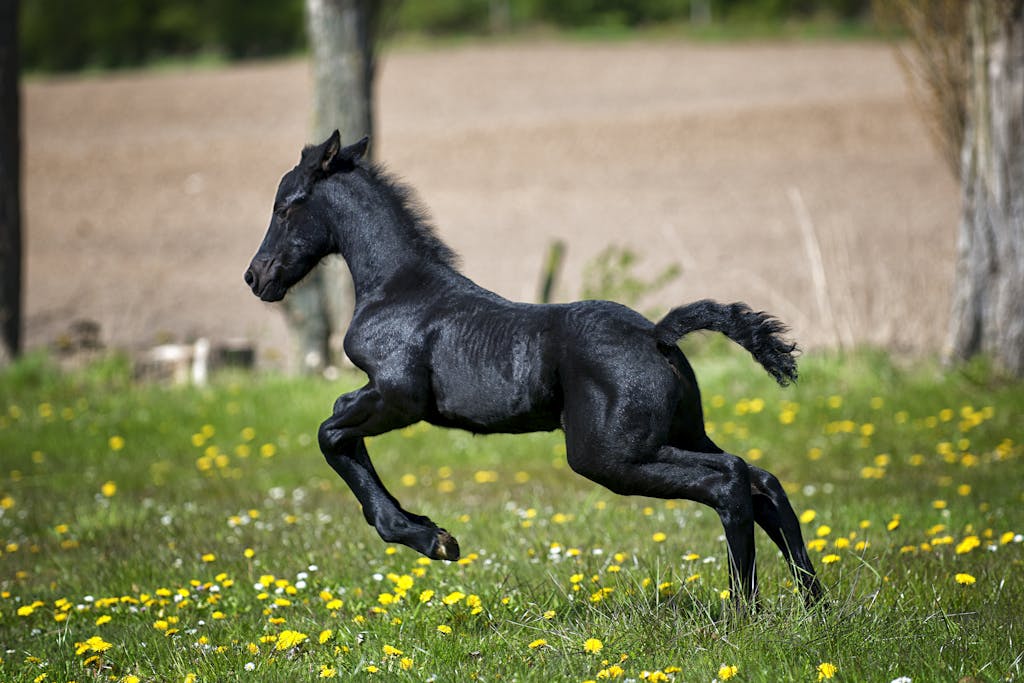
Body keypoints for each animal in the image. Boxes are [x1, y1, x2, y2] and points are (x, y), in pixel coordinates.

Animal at [244, 131, 823, 606]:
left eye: (284, 207)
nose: (256, 277)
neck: (398, 288)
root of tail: (657, 334)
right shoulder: (383, 397)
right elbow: (339, 429)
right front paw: (429, 531)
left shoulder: (397, 396)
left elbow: (331, 432)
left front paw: (431, 538)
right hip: (677, 434)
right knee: (762, 480)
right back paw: (813, 604)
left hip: (611, 456)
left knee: (730, 481)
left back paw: (744, 609)